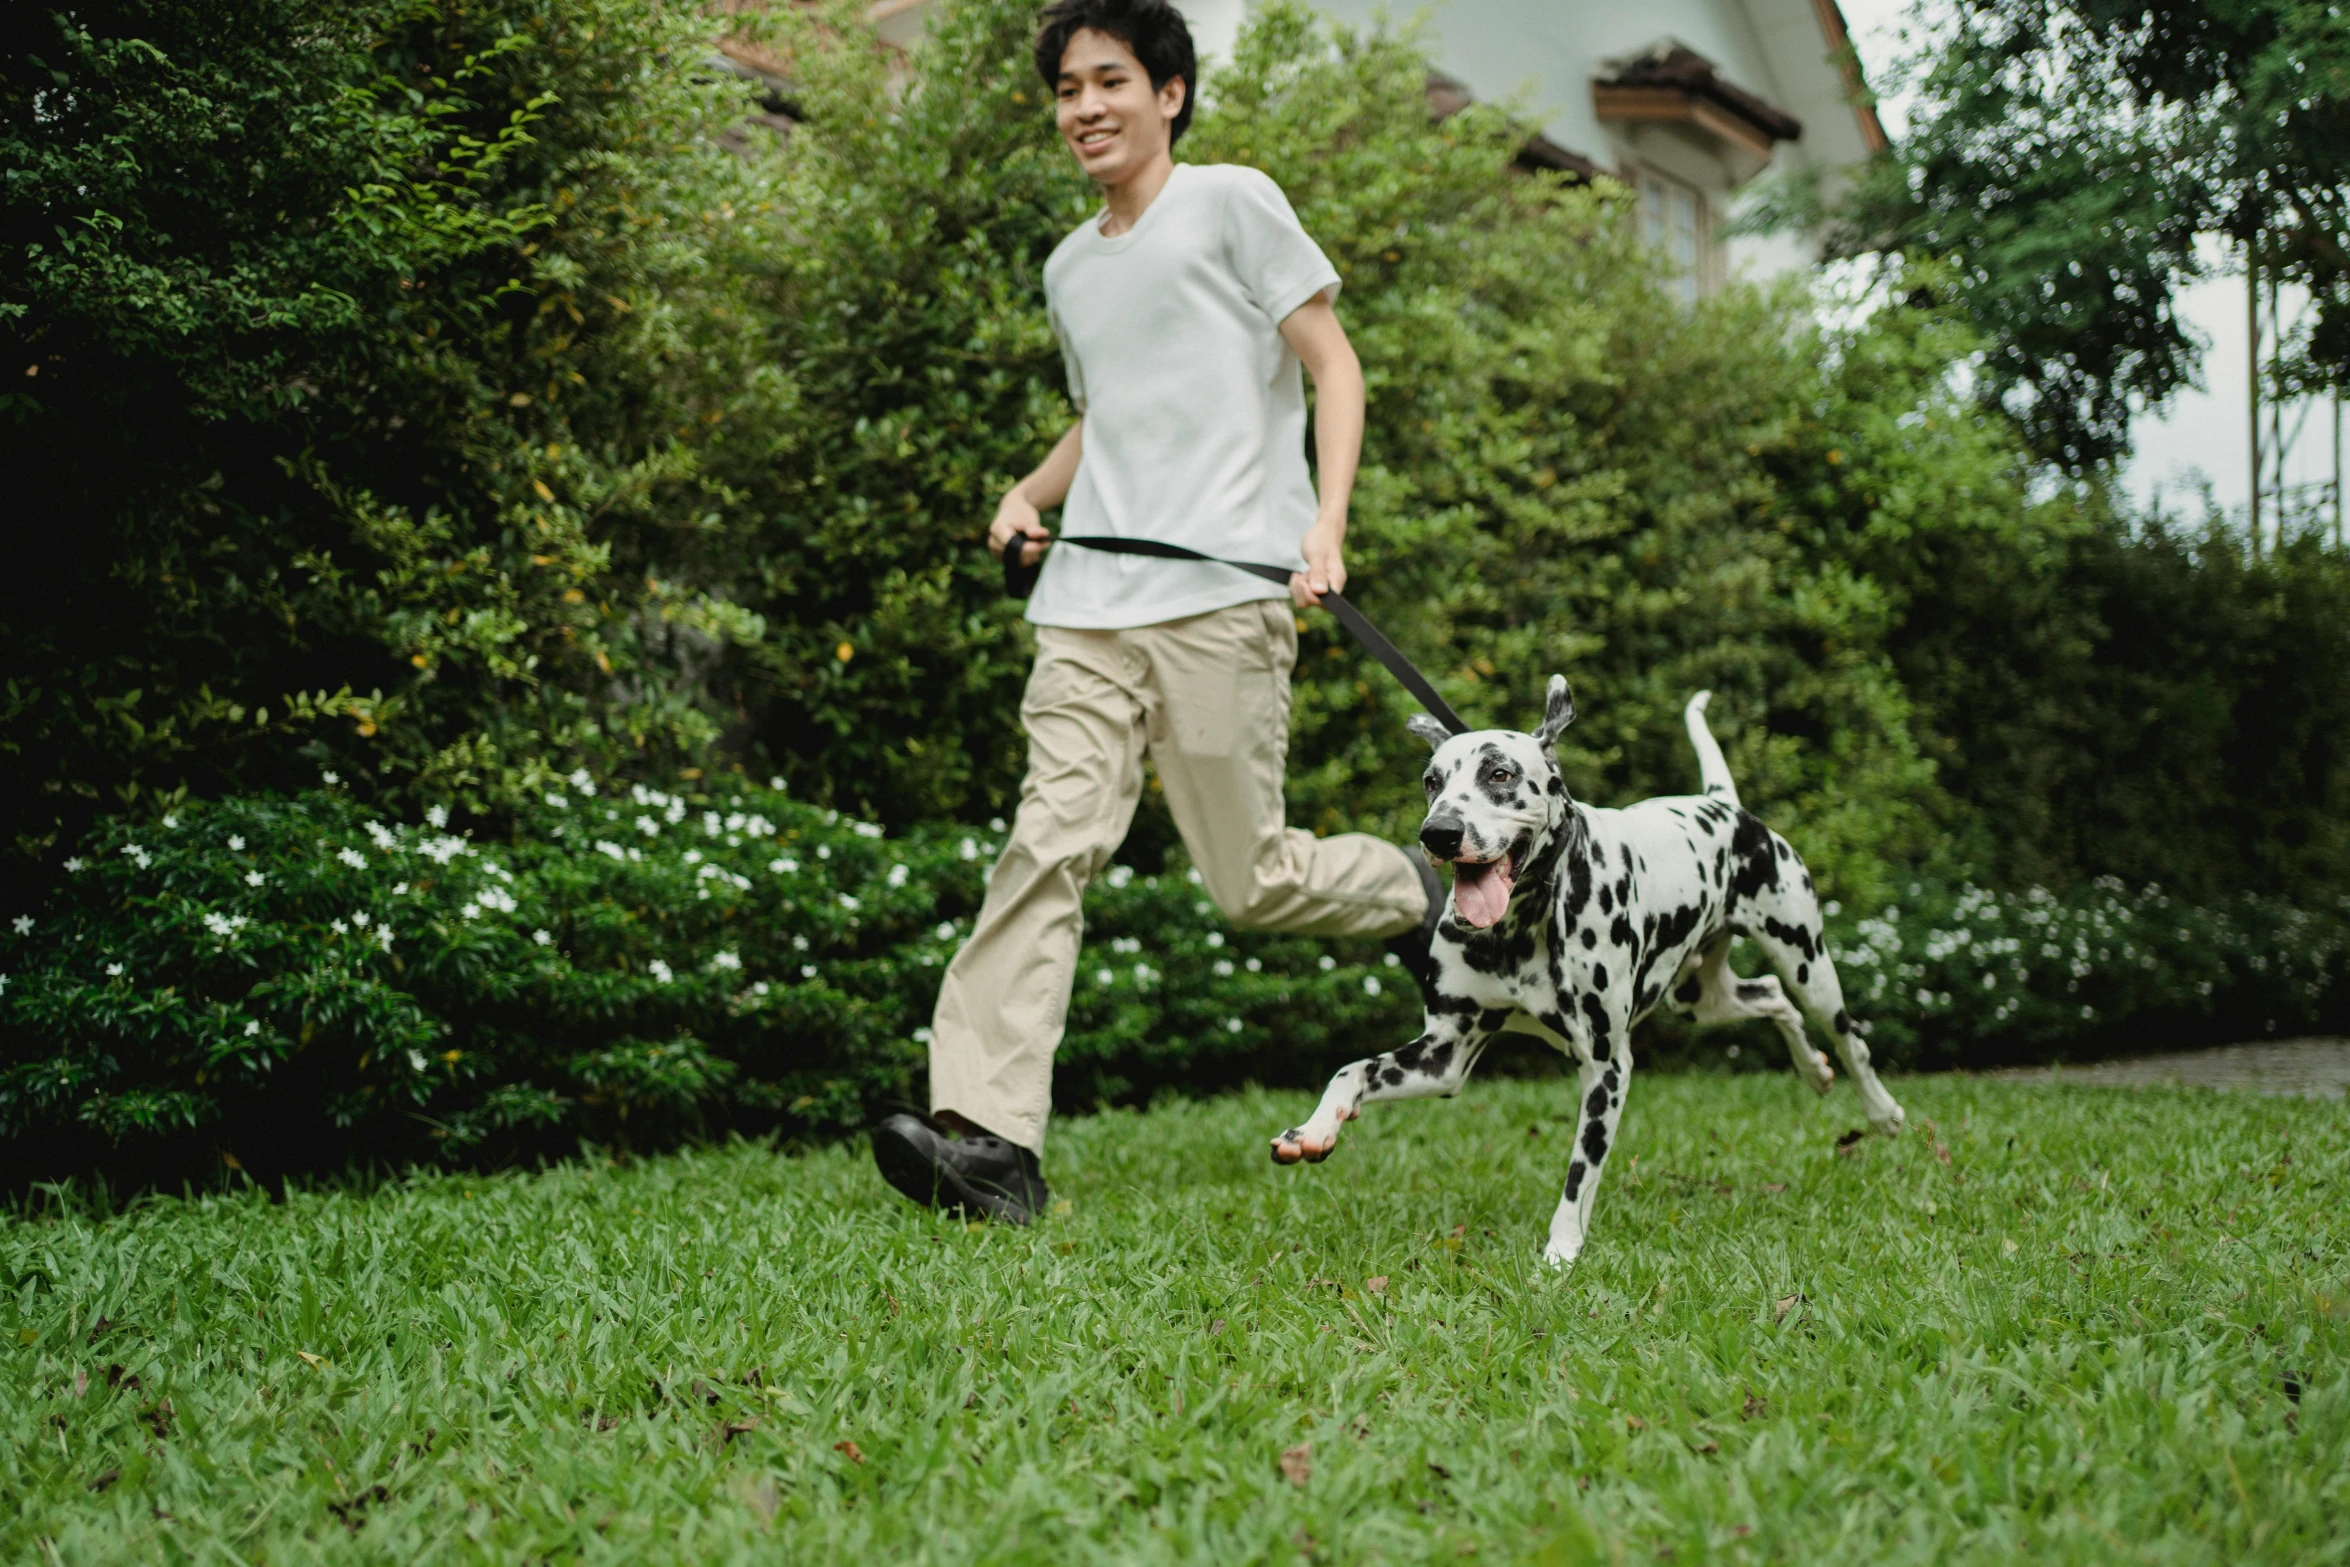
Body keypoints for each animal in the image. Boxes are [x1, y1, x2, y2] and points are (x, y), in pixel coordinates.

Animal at [1269, 681, 1908, 1268]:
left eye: (1499, 773)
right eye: (1432, 781)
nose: (1439, 833)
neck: (1519, 926)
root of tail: (1723, 805)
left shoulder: (1607, 1066)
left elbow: (1580, 1173)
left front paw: (1561, 1252)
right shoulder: (1443, 1054)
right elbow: (1352, 1069)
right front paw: (1315, 1129)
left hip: (1807, 963)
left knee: (1848, 1038)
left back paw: (1881, 1111)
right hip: (1700, 997)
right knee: (1772, 998)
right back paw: (1814, 1070)